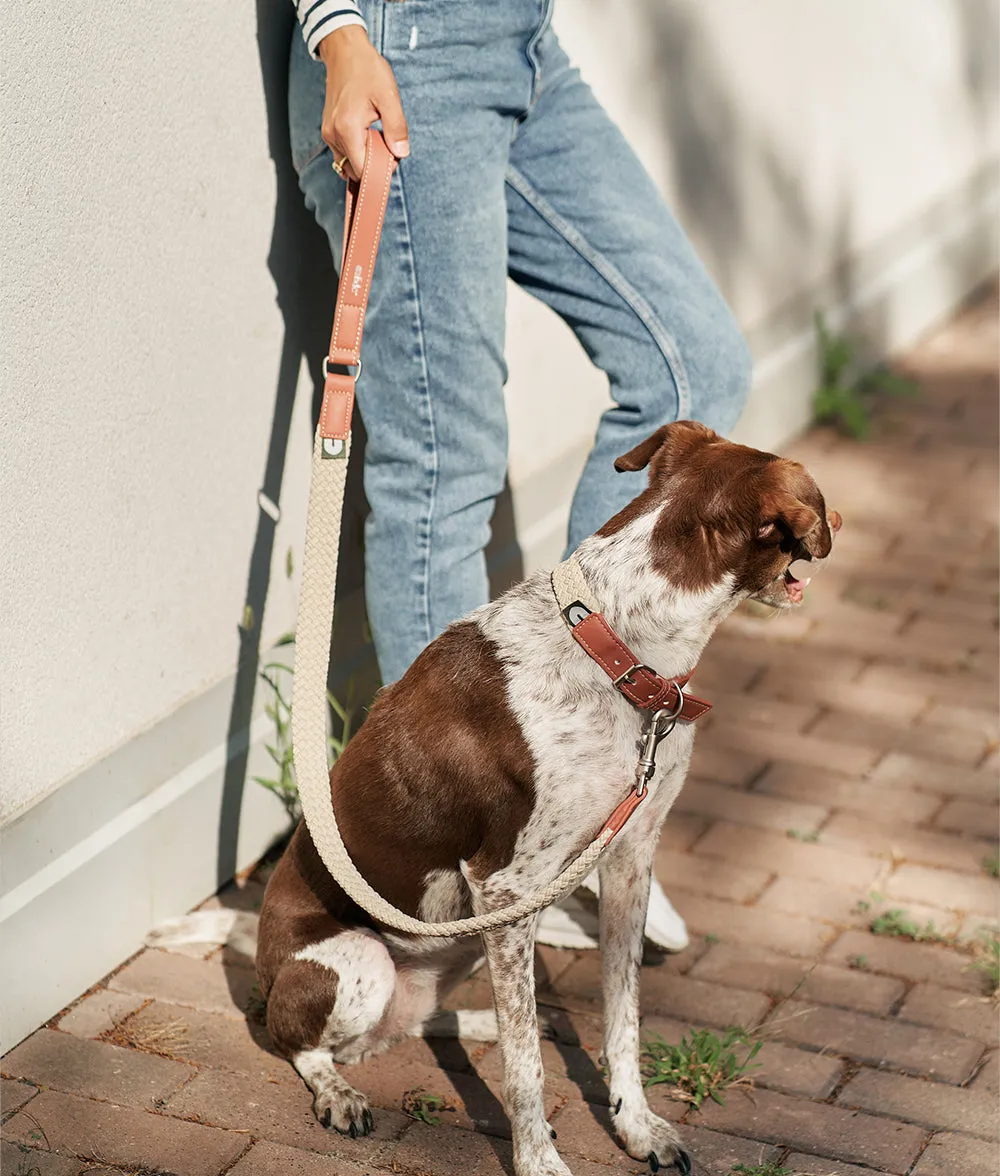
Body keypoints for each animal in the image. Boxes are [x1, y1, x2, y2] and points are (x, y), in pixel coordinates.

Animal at [150, 423, 832, 1176]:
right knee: (306, 1042)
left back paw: (475, 1021)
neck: (614, 646)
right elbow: (524, 1068)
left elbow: (621, 1018)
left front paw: (637, 1126)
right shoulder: (507, 885)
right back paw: (339, 1090)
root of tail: (262, 956)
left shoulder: (629, 858)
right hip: (364, 960)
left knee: (417, 1026)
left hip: (462, 944)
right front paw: (539, 1160)